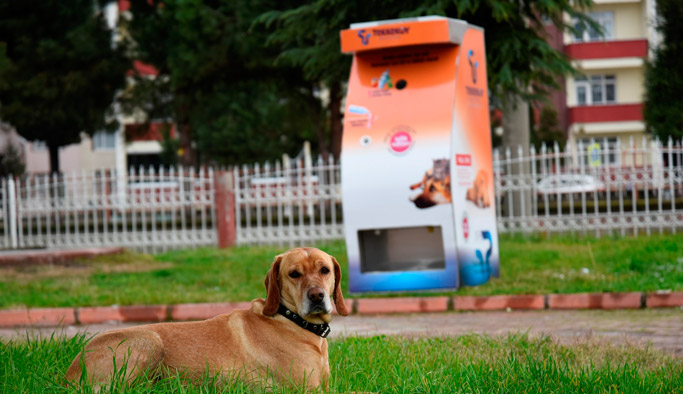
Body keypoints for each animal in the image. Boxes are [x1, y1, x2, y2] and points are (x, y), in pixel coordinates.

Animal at [65, 248, 348, 390]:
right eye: (294, 274)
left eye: (325, 270)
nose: (317, 296)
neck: (291, 318)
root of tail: (71, 371)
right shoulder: (307, 389)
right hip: (149, 340)